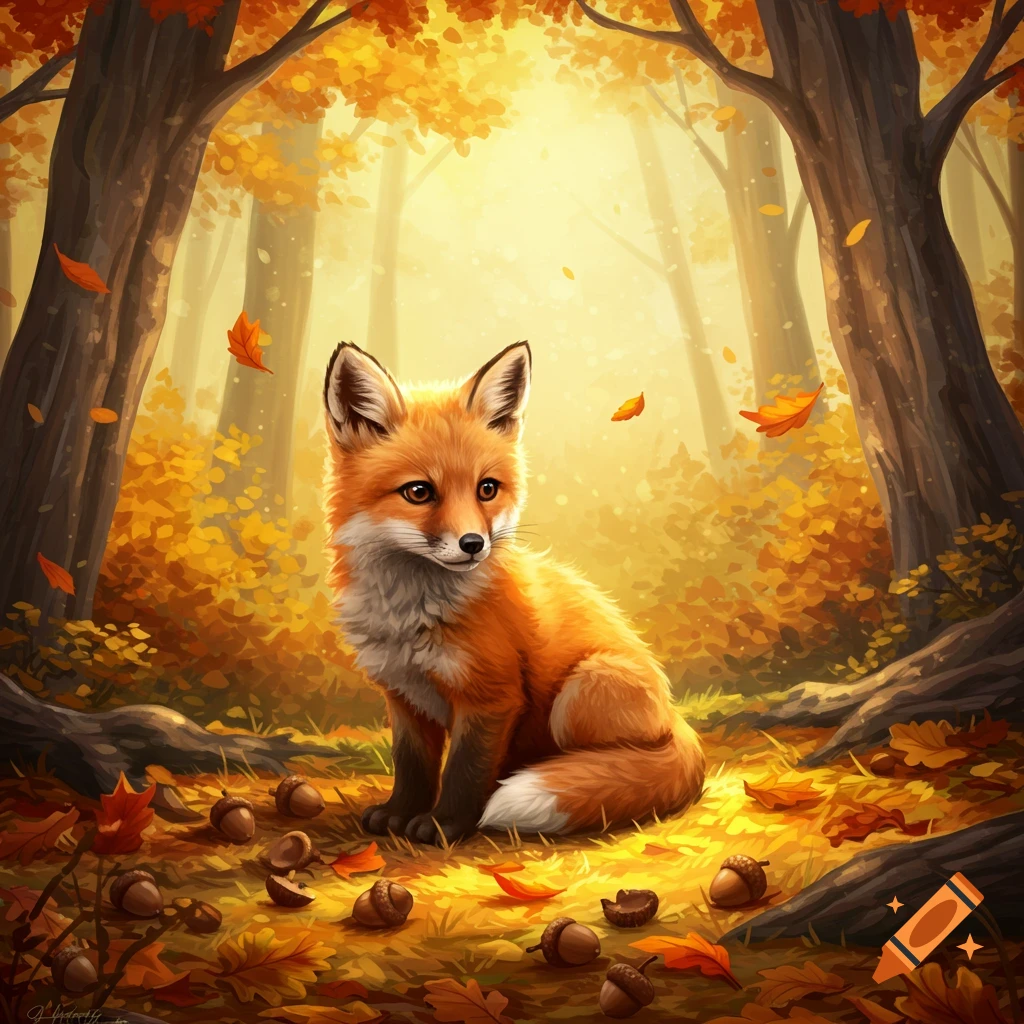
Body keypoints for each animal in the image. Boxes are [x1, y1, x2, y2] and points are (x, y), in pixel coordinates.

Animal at [322, 340, 705, 845]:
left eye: (487, 489)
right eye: (419, 492)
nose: (473, 544)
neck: (411, 613)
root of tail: (676, 718)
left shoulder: (493, 697)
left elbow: (465, 770)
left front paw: (445, 824)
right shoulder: (403, 696)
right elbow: (412, 766)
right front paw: (399, 814)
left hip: (581, 690)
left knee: (613, 761)